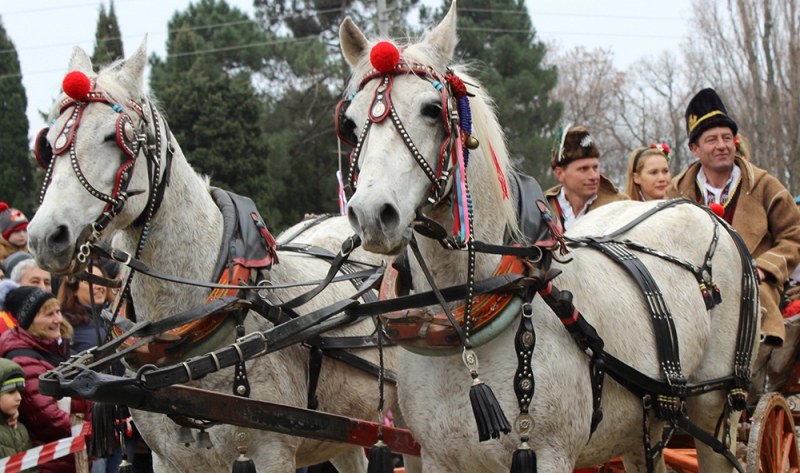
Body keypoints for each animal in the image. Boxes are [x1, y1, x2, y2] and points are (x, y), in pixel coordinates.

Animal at [336, 1, 756, 470]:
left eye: (431, 109)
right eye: (349, 124)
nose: (372, 214)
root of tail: (700, 209)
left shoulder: (547, 454)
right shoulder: (438, 457)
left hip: (714, 406)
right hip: (640, 424)